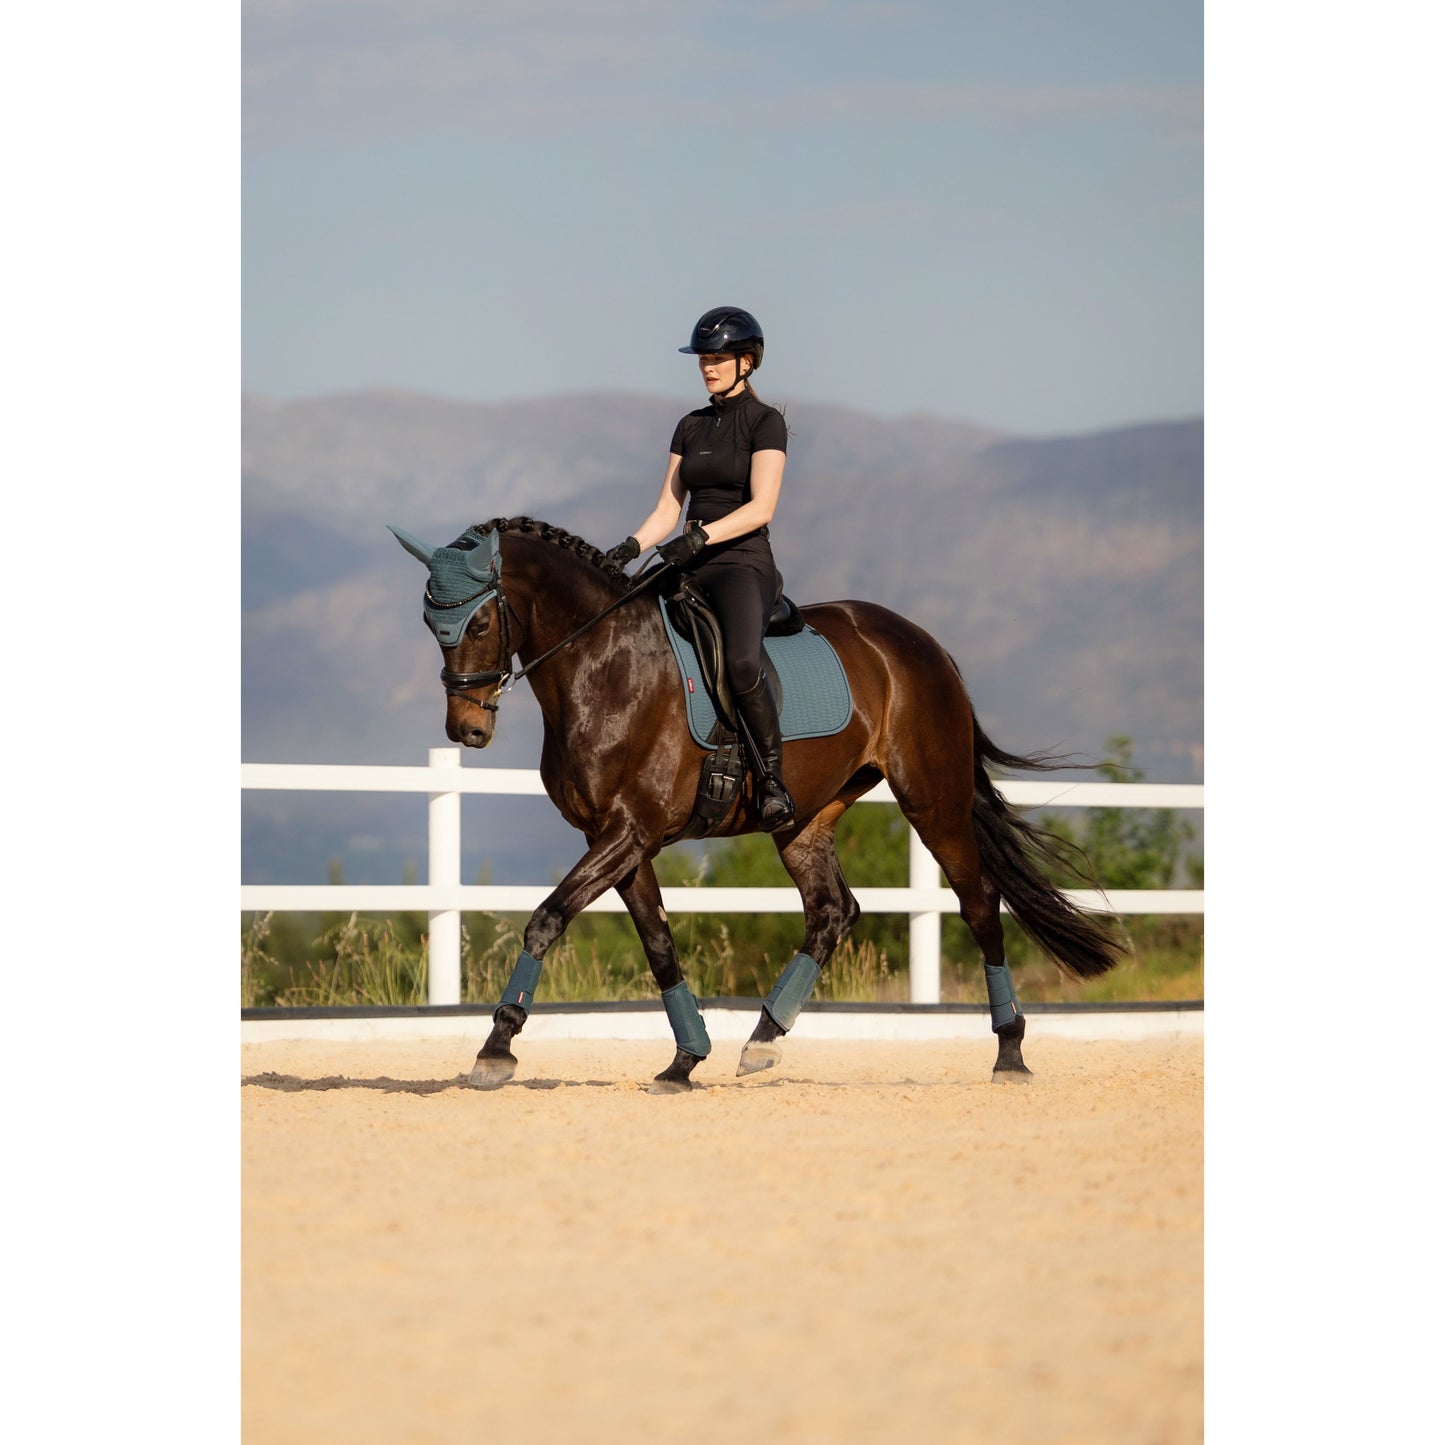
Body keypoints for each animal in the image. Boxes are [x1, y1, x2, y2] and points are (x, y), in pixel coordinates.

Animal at [389, 515, 1127, 1092]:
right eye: (429, 622)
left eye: (478, 620)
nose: (466, 730)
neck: (605, 665)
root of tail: (920, 643)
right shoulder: (614, 838)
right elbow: (658, 942)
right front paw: (685, 1060)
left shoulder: (630, 831)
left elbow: (545, 921)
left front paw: (495, 1048)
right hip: (804, 820)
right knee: (833, 911)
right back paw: (763, 1038)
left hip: (932, 802)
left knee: (979, 906)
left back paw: (1010, 1052)